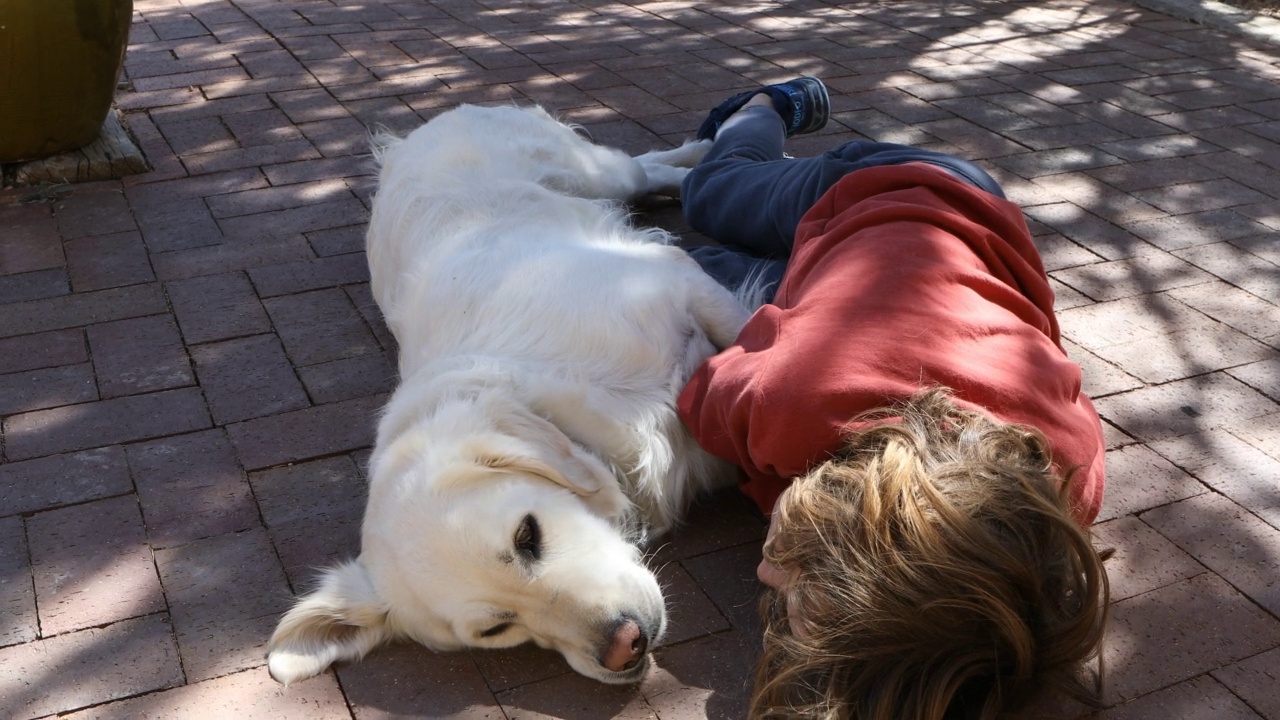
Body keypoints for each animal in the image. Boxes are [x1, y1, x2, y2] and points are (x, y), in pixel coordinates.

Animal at [270, 105, 747, 681]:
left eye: (527, 536)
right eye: (496, 629)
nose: (624, 645)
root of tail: (413, 137)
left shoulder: (674, 281)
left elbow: (753, 330)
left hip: (595, 172)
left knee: (651, 165)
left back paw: (704, 150)